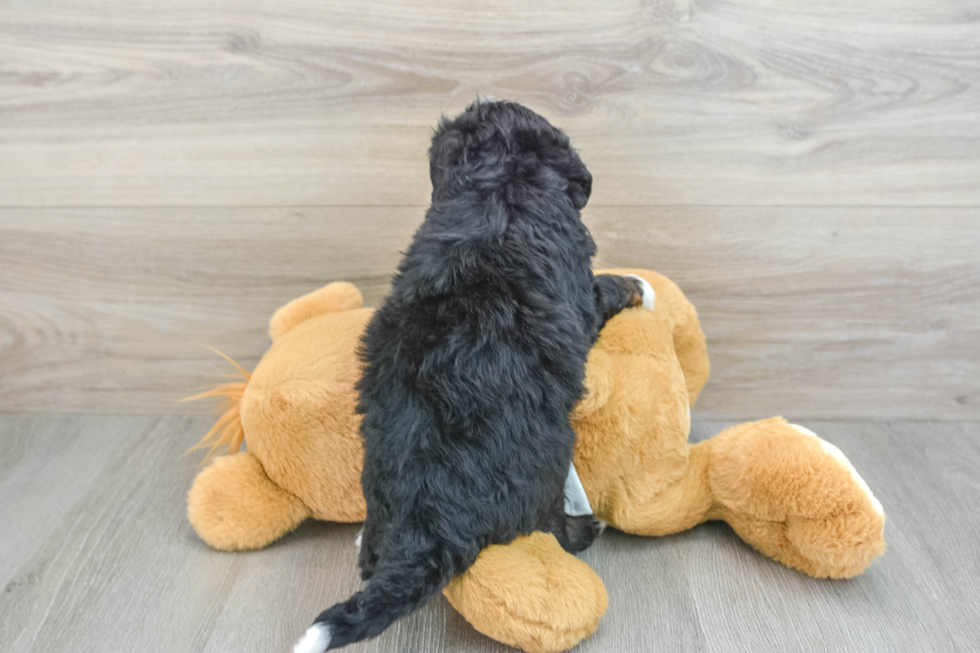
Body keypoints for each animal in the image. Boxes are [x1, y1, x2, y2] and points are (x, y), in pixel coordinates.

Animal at [294, 100, 656, 652]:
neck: (499, 181)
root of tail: (428, 522)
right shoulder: (580, 291)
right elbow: (605, 286)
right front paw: (641, 285)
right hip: (549, 459)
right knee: (551, 526)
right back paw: (586, 528)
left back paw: (367, 545)